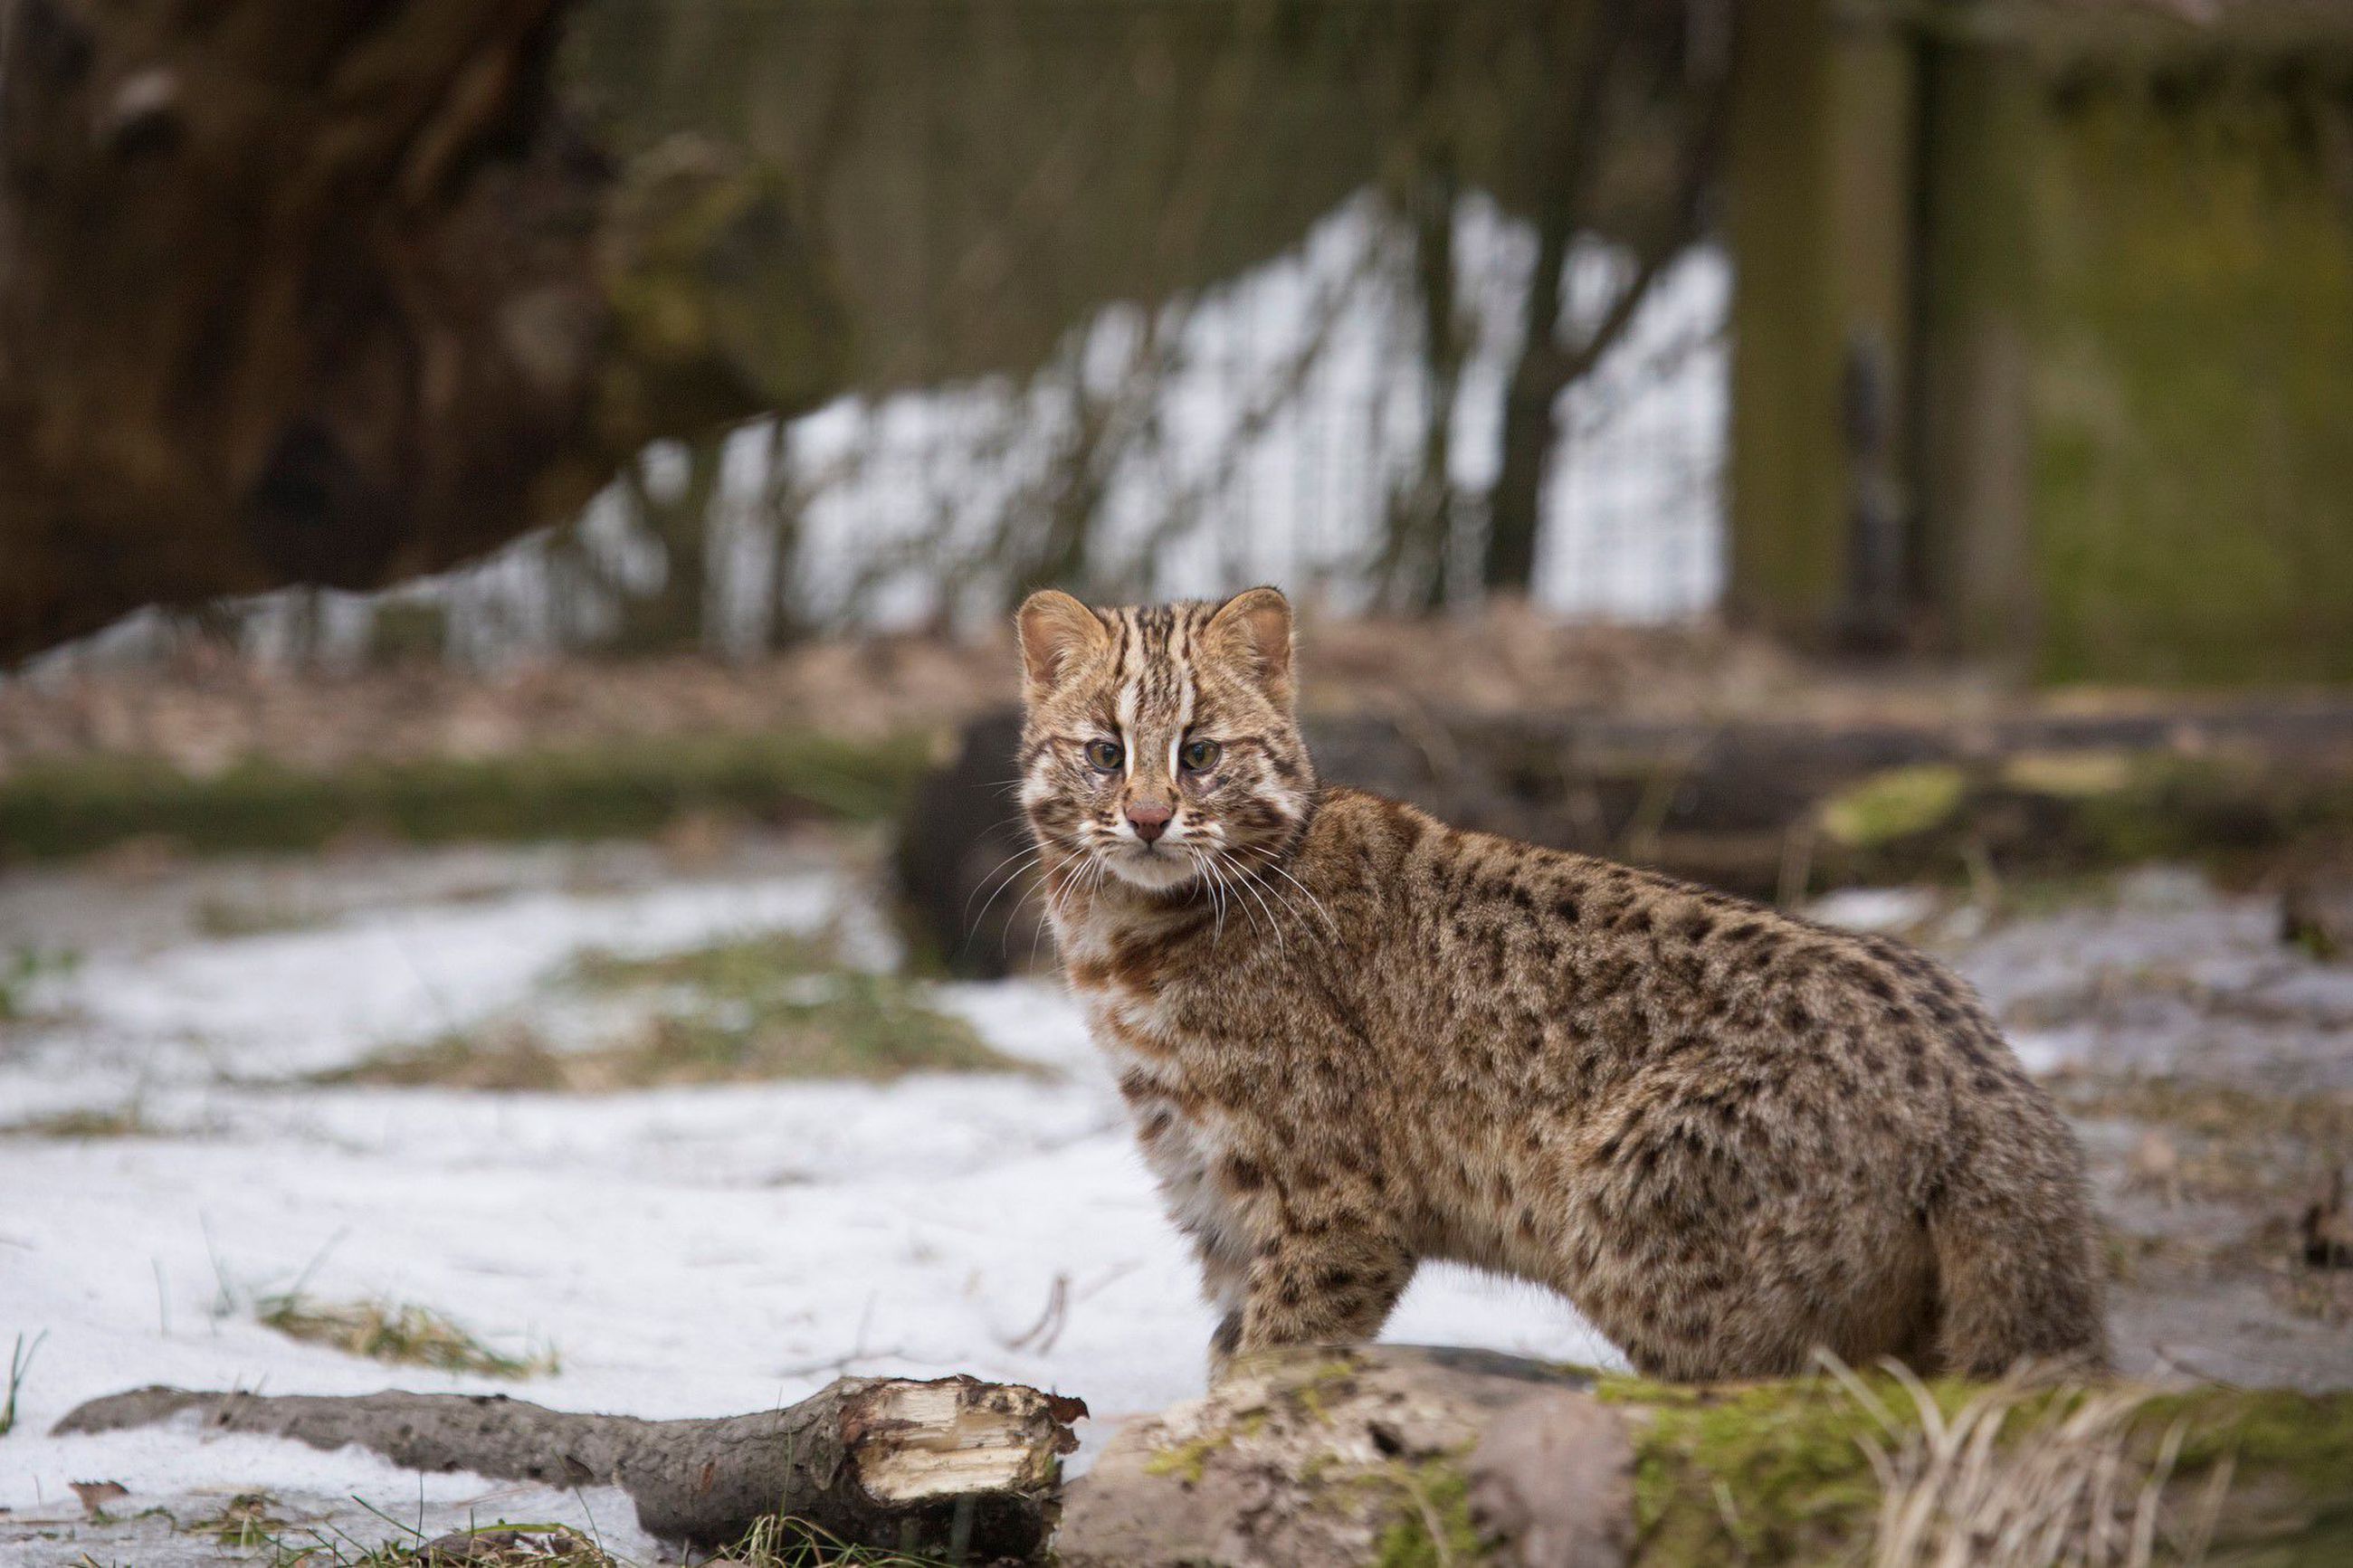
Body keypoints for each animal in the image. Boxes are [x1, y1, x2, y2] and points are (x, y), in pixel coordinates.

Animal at [1016, 584, 2118, 1373]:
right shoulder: (1209, 1193)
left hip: (1646, 1225)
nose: (1148, 817)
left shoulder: (1336, 1204)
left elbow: (1272, 1362)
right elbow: (1227, 1356)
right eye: (1104, 752)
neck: (1124, 942)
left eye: (1200, 752)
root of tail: (1987, 1079)